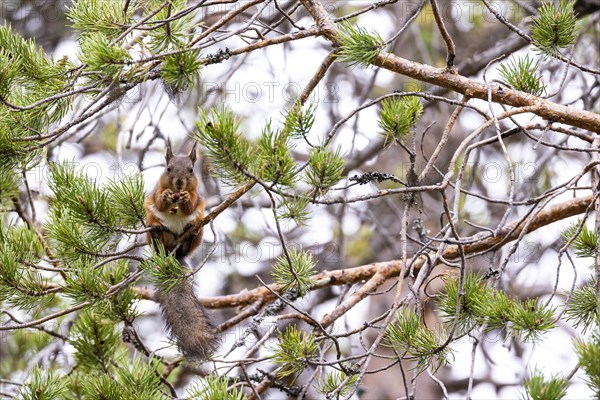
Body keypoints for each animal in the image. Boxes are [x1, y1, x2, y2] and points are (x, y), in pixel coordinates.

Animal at [144, 141, 217, 360]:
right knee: (156, 232)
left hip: (199, 226)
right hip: (150, 223)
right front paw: (166, 196)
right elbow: (159, 200)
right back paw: (157, 233)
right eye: (168, 169)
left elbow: (191, 203)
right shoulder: (155, 192)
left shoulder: (198, 197)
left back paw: (190, 232)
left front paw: (185, 198)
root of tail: (172, 254)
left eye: (191, 170)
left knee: (191, 234)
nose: (179, 183)